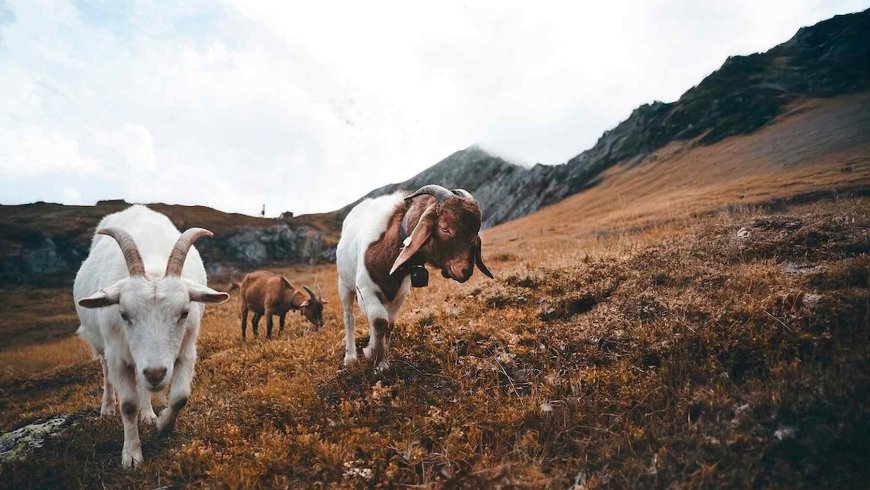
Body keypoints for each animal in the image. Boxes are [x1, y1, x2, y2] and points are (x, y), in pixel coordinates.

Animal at [73, 205, 229, 468]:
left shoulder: (186, 350)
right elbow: (128, 405)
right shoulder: (117, 355)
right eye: (124, 314)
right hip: (106, 347)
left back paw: (147, 413)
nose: (155, 373)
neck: (153, 264)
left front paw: (162, 425)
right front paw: (131, 455)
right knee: (106, 373)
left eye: (184, 312)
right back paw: (107, 408)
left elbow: (180, 397)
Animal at [336, 184, 494, 371]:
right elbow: (380, 320)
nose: (465, 270)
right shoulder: (365, 290)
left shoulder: (399, 295)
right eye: (445, 228)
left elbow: (388, 324)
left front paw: (382, 362)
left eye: (476, 229)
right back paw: (350, 357)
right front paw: (373, 354)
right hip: (345, 287)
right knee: (349, 317)